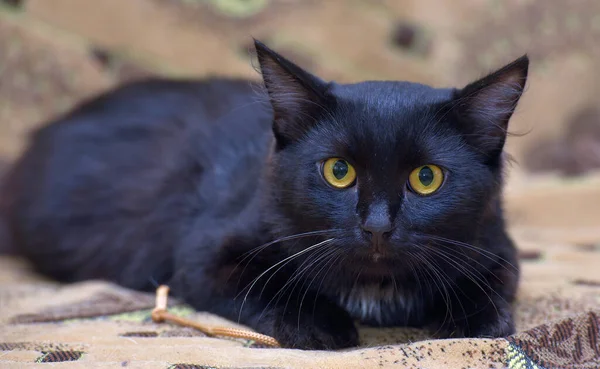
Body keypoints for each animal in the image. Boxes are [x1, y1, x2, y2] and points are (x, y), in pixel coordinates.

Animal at [1, 39, 524, 348]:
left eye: (426, 178)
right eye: (338, 171)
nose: (376, 226)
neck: (373, 288)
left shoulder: (496, 244)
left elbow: (497, 283)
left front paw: (472, 318)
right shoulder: (205, 253)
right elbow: (262, 282)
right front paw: (316, 322)